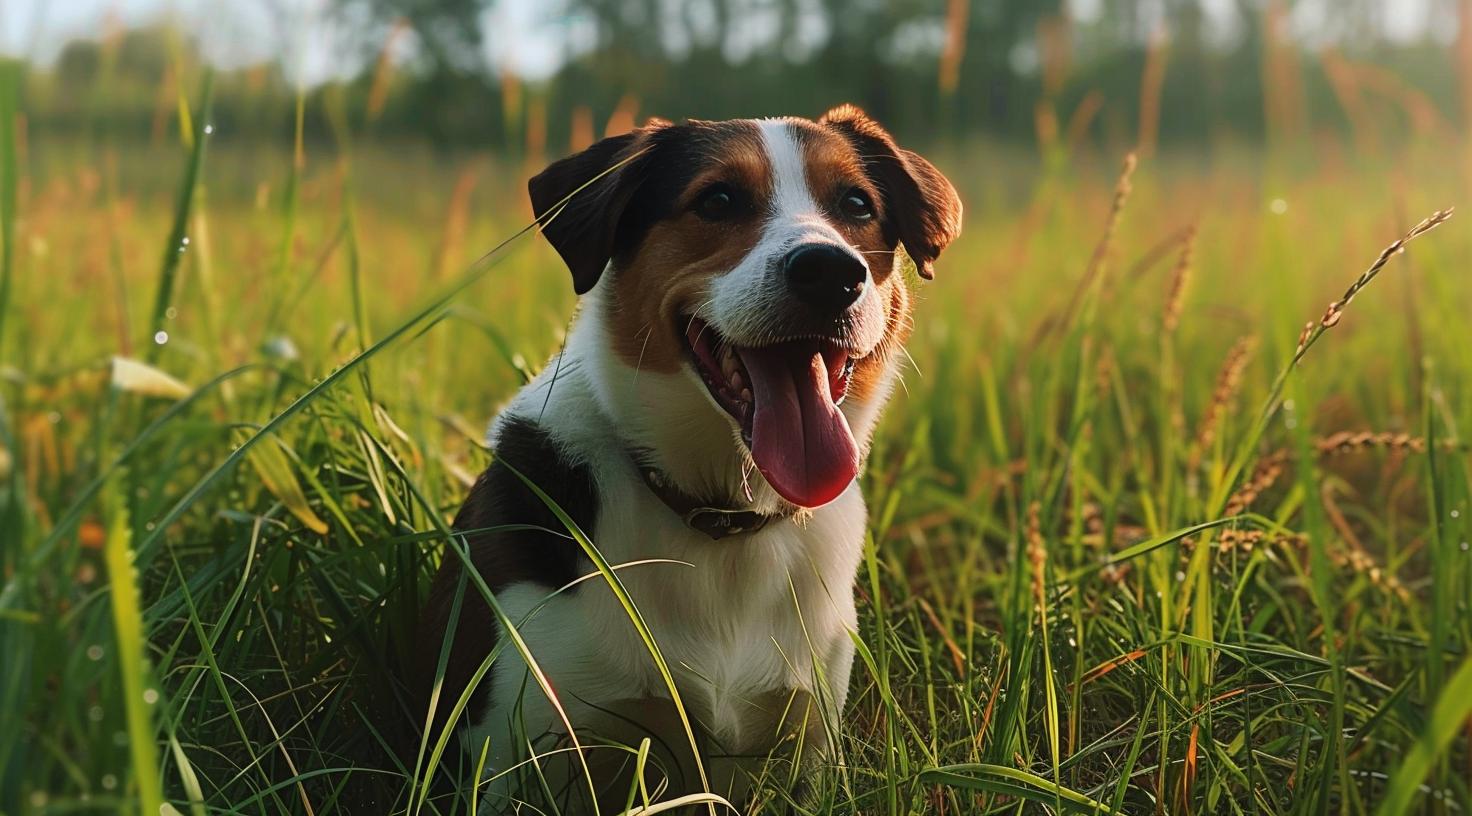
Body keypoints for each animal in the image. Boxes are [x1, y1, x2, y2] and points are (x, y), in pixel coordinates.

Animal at [418, 103, 965, 807]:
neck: (721, 519)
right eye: (718, 199)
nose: (830, 272)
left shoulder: (803, 751)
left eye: (856, 204)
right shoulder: (516, 752)